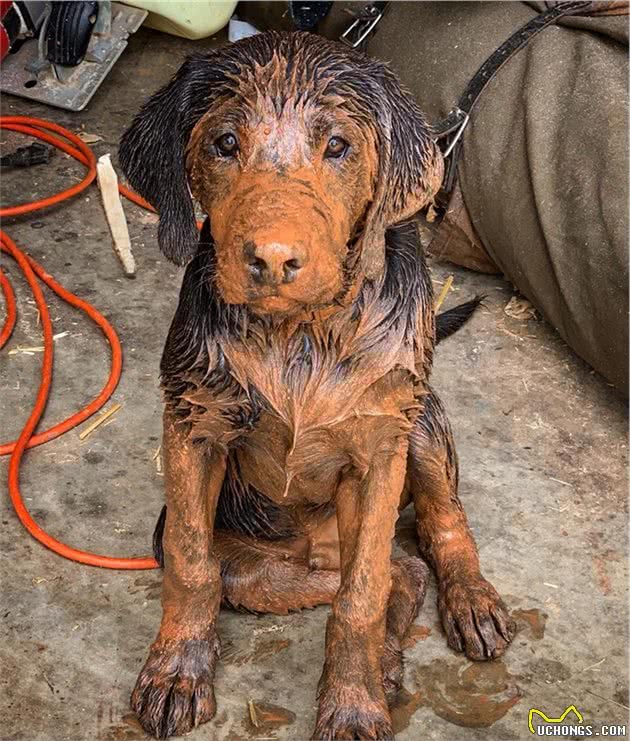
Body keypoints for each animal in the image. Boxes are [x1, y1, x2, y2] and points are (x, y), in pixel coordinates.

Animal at [121, 30, 516, 740]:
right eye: (225, 143)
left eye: (337, 146)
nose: (273, 259)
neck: (301, 333)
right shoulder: (193, 423)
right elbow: (192, 566)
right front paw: (176, 673)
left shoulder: (381, 448)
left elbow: (360, 598)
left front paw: (353, 702)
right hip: (253, 553)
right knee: (385, 571)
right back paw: (388, 662)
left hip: (422, 421)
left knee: (434, 531)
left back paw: (466, 604)